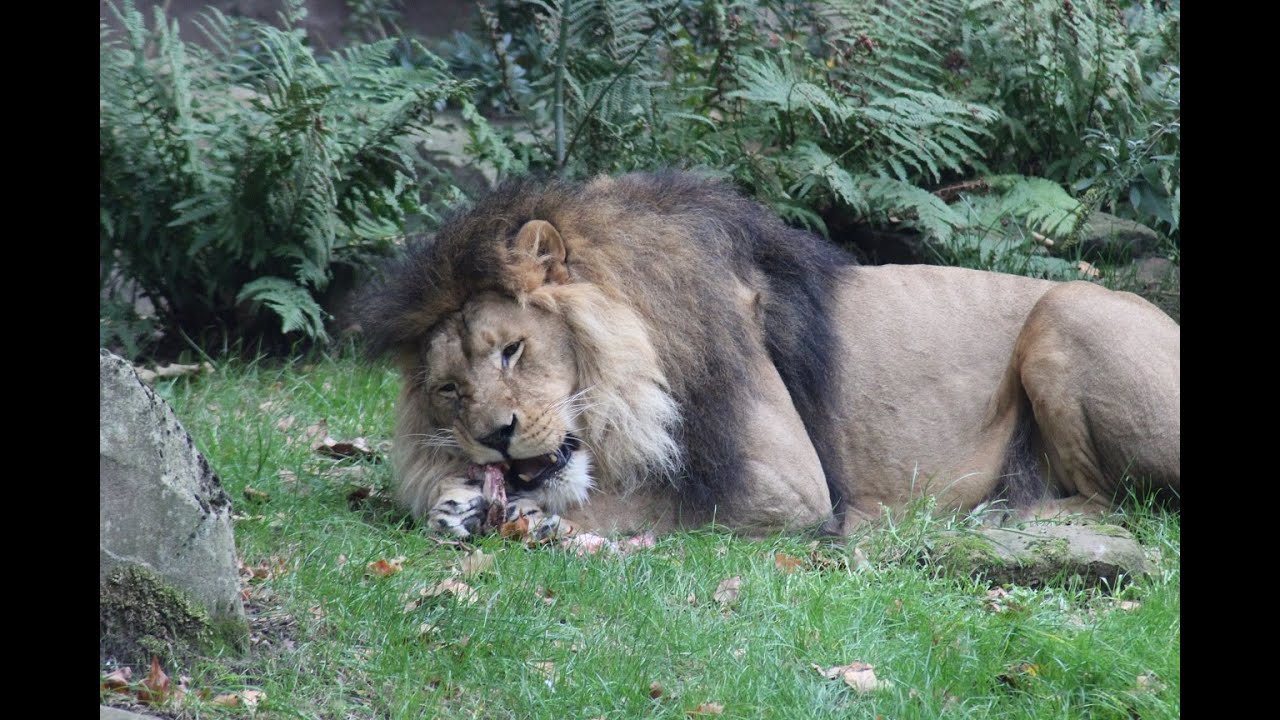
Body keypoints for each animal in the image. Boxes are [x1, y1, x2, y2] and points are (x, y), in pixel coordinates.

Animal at [360, 170, 1177, 535]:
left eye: (512, 351)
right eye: (449, 391)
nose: (494, 438)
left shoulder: (788, 485)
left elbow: (651, 498)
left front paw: (522, 514)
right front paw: (456, 499)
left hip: (1068, 308)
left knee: (1112, 504)